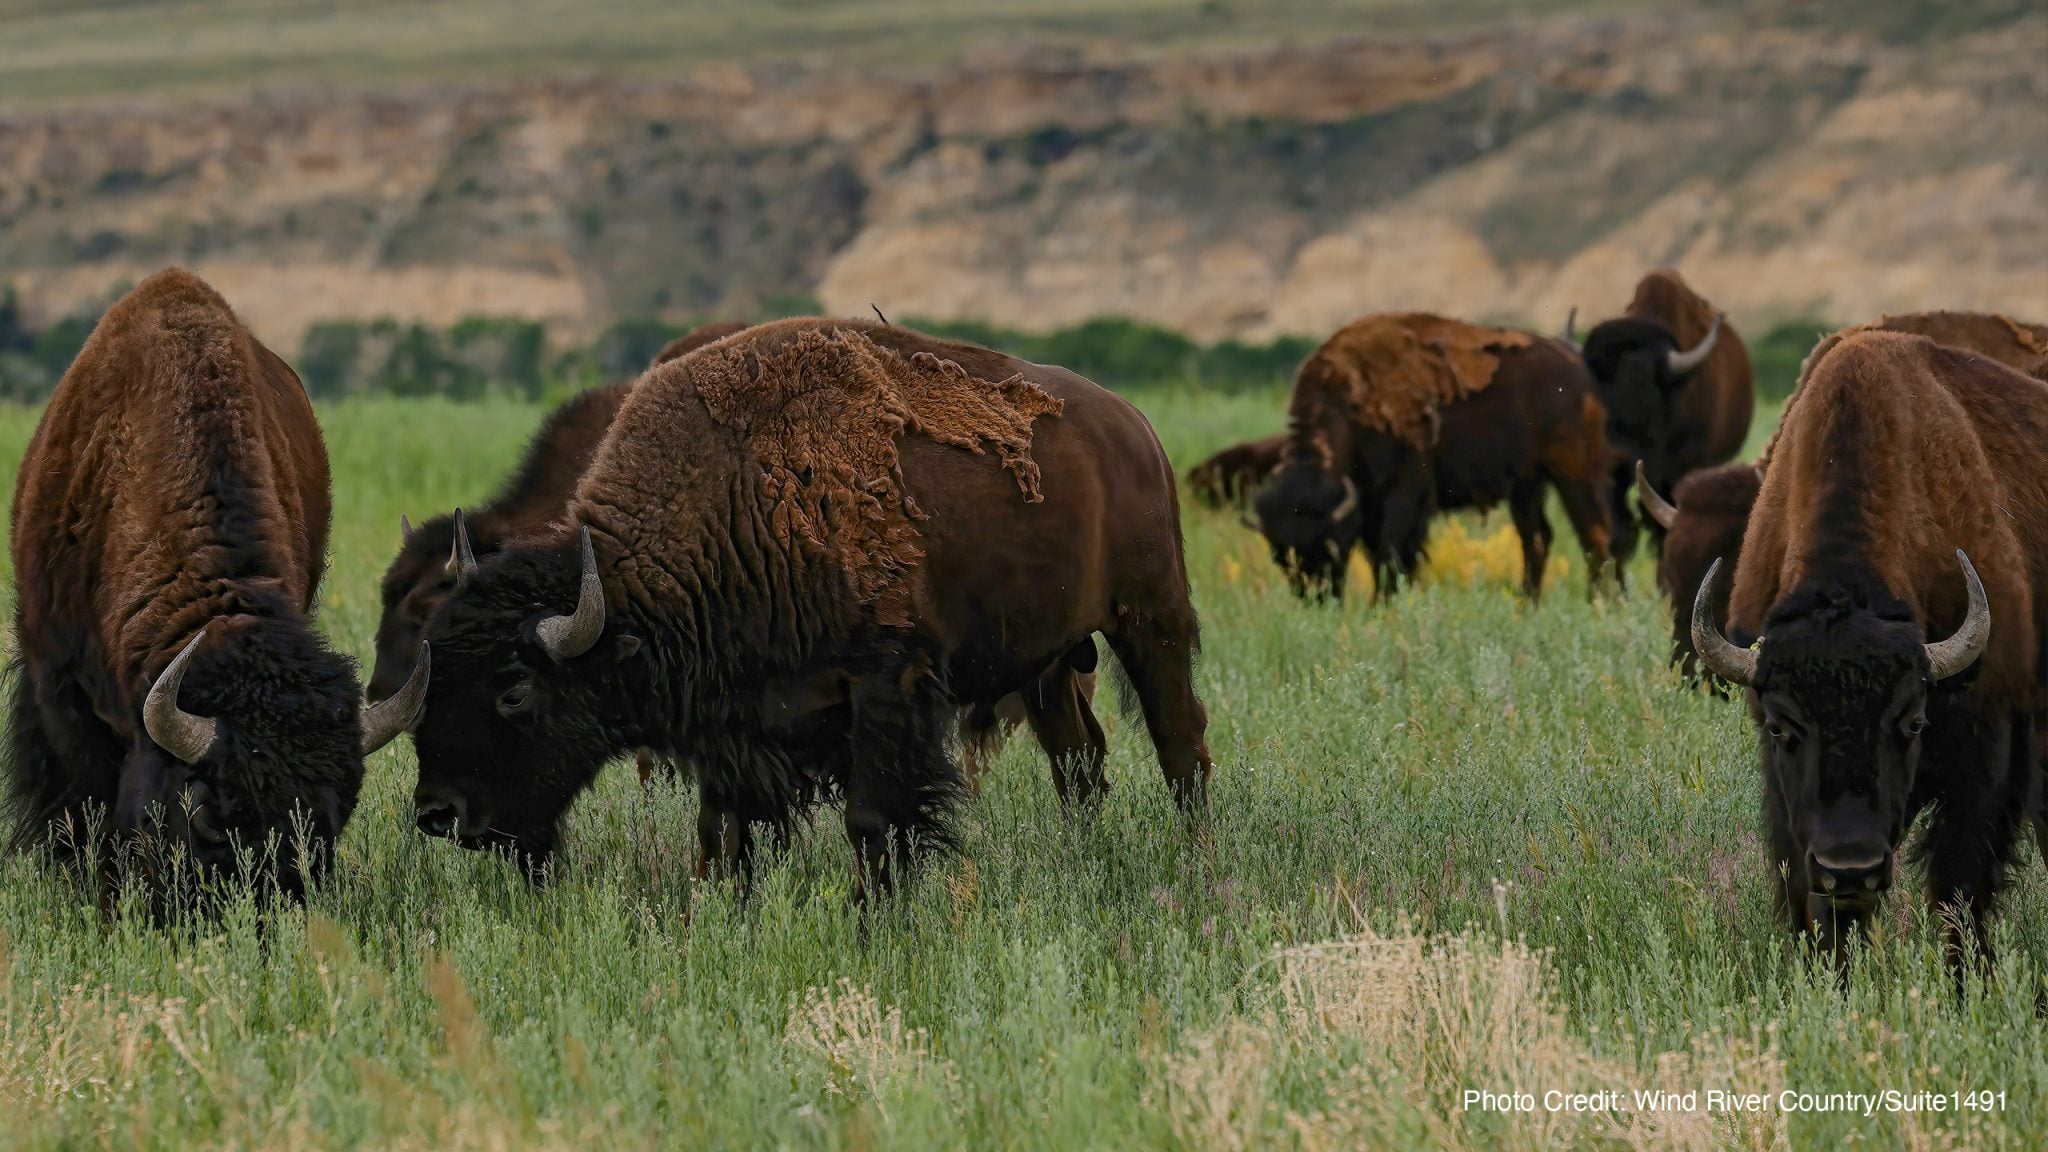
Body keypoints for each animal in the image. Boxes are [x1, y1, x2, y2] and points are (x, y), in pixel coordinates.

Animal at [406, 318, 1213, 894]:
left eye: (514, 691)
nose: (438, 814)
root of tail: (1133, 427)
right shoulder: (737, 730)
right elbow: (725, 834)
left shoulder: (886, 688)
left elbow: (874, 822)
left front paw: (876, 919)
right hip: (1046, 662)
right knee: (1079, 760)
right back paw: (1087, 856)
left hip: (1151, 621)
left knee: (1181, 745)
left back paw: (1197, 863)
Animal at [1254, 312, 1616, 601]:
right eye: (1278, 552)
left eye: (1327, 542)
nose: (1315, 597)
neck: (1347, 406)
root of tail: (1576, 365)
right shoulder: (1370, 503)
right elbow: (1381, 554)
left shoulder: (1405, 490)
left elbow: (1391, 550)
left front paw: (1381, 606)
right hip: (1526, 484)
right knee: (1537, 540)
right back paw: (1528, 605)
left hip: (1572, 473)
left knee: (1594, 534)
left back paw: (1599, 603)